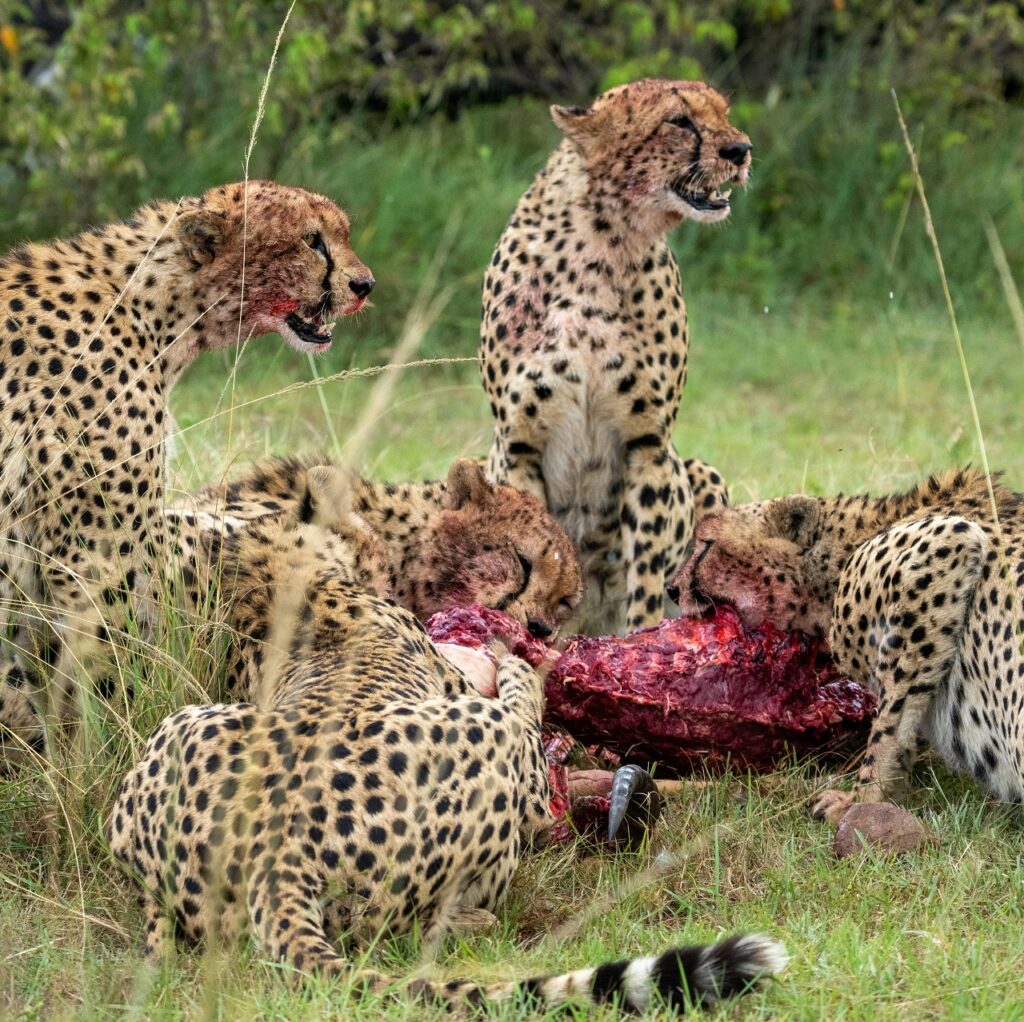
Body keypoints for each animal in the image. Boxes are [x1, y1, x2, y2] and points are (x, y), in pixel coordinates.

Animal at [0, 180, 374, 765]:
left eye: (340, 233)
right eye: (311, 240)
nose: (364, 284)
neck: (149, 307)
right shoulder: (92, 561)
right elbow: (102, 683)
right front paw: (102, 765)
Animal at [110, 509, 782, 1007]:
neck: (280, 585)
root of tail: (277, 852)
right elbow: (520, 695)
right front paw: (519, 661)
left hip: (174, 737)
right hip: (485, 758)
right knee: (421, 919)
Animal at [479, 79, 745, 634]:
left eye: (723, 113)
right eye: (678, 121)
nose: (741, 149)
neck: (605, 241)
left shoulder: (648, 444)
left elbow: (645, 577)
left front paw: (639, 645)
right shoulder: (517, 447)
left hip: (700, 472)